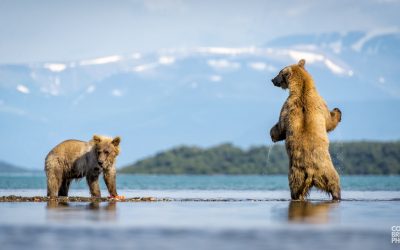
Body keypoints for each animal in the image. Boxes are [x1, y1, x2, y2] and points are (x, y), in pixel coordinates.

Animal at [270, 59, 342, 201]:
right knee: (334, 182)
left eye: (278, 73)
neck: (302, 89)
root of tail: (311, 172)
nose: (272, 80)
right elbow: (329, 122)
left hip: (306, 174)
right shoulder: (312, 104)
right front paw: (337, 111)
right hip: (319, 171)